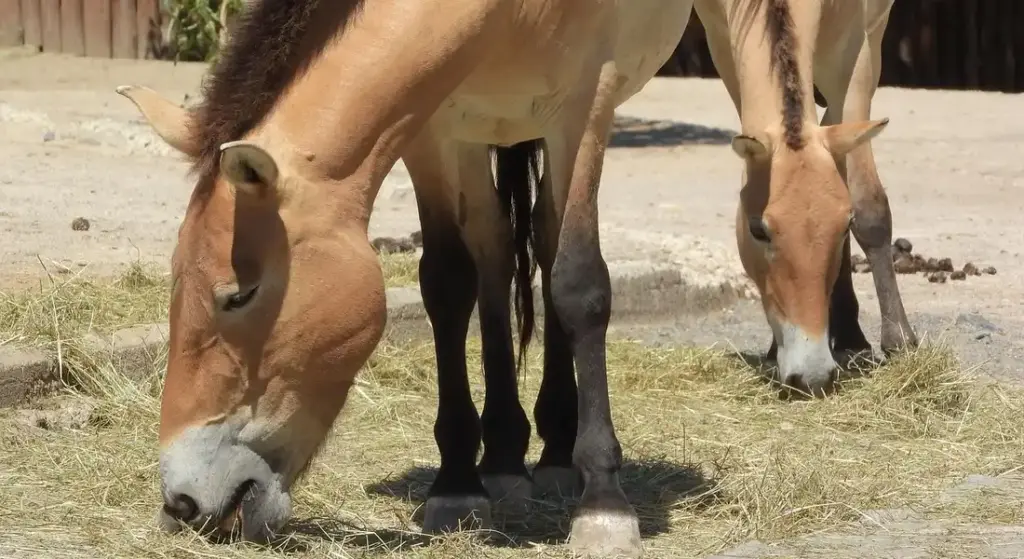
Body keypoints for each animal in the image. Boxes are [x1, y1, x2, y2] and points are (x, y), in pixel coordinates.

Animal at [117, 0, 698, 556]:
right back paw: (504, 459)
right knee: (498, 249)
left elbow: (578, 284)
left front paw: (605, 506)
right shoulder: (430, 125)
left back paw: (558, 453)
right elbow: (447, 283)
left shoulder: (584, 110)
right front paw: (457, 486)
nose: (183, 503)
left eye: (239, 295)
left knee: (549, 242)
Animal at [692, 0, 918, 395]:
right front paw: (773, 348)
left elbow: (868, 208)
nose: (811, 376)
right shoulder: (721, 41)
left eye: (844, 226)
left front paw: (898, 341)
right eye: (758, 230)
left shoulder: (856, 53)